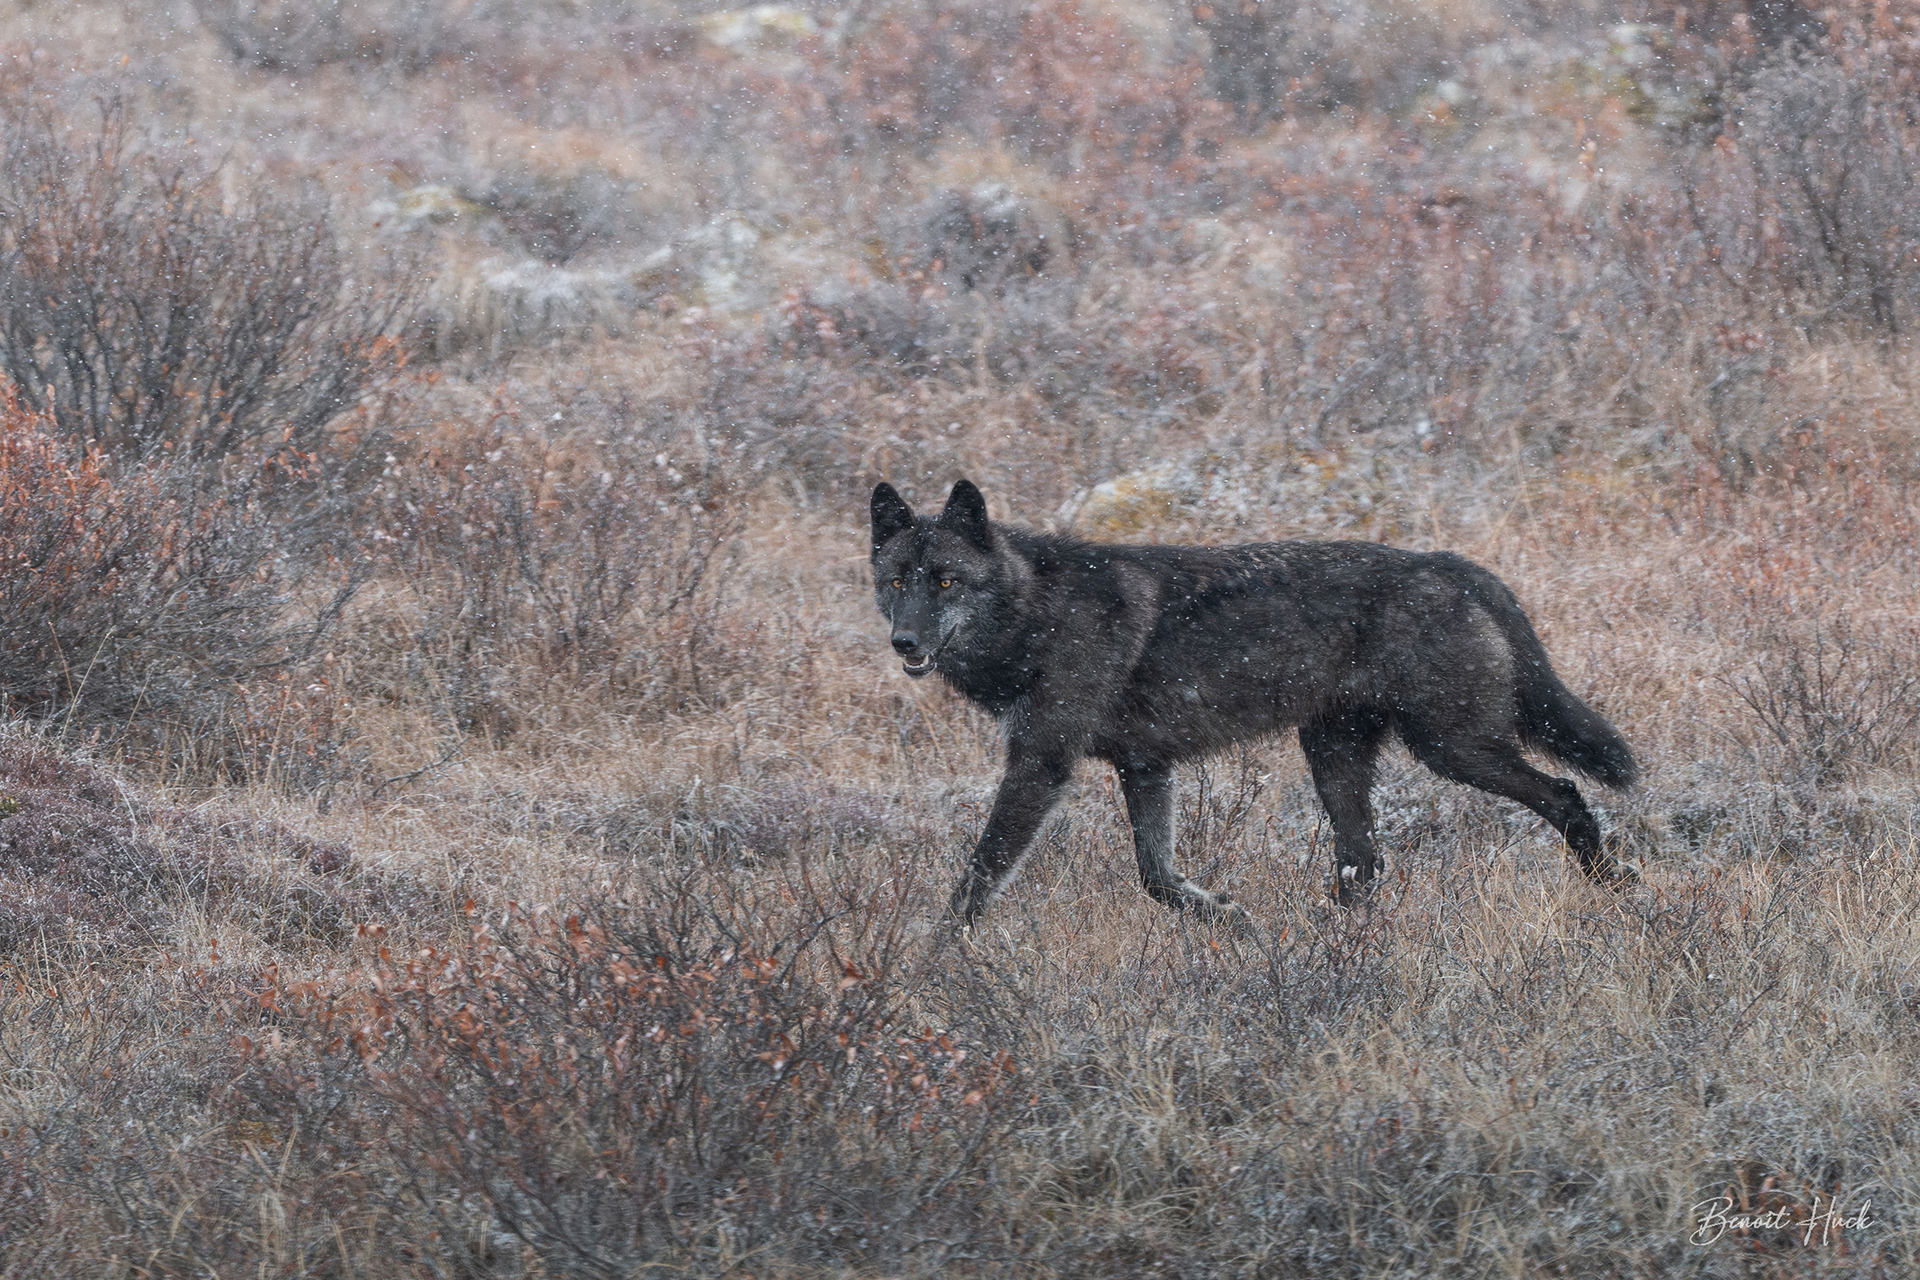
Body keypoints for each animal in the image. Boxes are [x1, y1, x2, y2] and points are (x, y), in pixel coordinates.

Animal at [871, 478, 1638, 927]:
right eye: (896, 580)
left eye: (945, 581)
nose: (903, 641)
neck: (1035, 613)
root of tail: (1453, 563)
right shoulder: (1144, 766)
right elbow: (1157, 879)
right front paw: (1232, 921)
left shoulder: (1041, 764)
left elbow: (975, 880)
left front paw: (930, 965)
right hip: (1336, 758)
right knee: (1364, 865)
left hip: (1454, 750)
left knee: (1566, 793)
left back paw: (1614, 889)